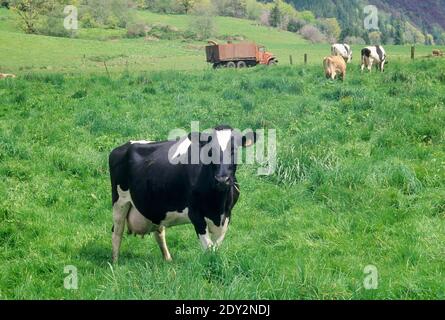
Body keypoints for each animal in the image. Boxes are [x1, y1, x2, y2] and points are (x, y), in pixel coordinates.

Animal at [108, 125, 258, 262]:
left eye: (234, 150)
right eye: (209, 151)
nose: (222, 179)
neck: (217, 204)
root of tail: (122, 147)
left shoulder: (226, 215)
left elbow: (216, 247)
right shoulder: (195, 214)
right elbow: (208, 248)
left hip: (156, 207)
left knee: (159, 232)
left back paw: (168, 259)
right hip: (120, 201)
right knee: (117, 232)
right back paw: (115, 263)